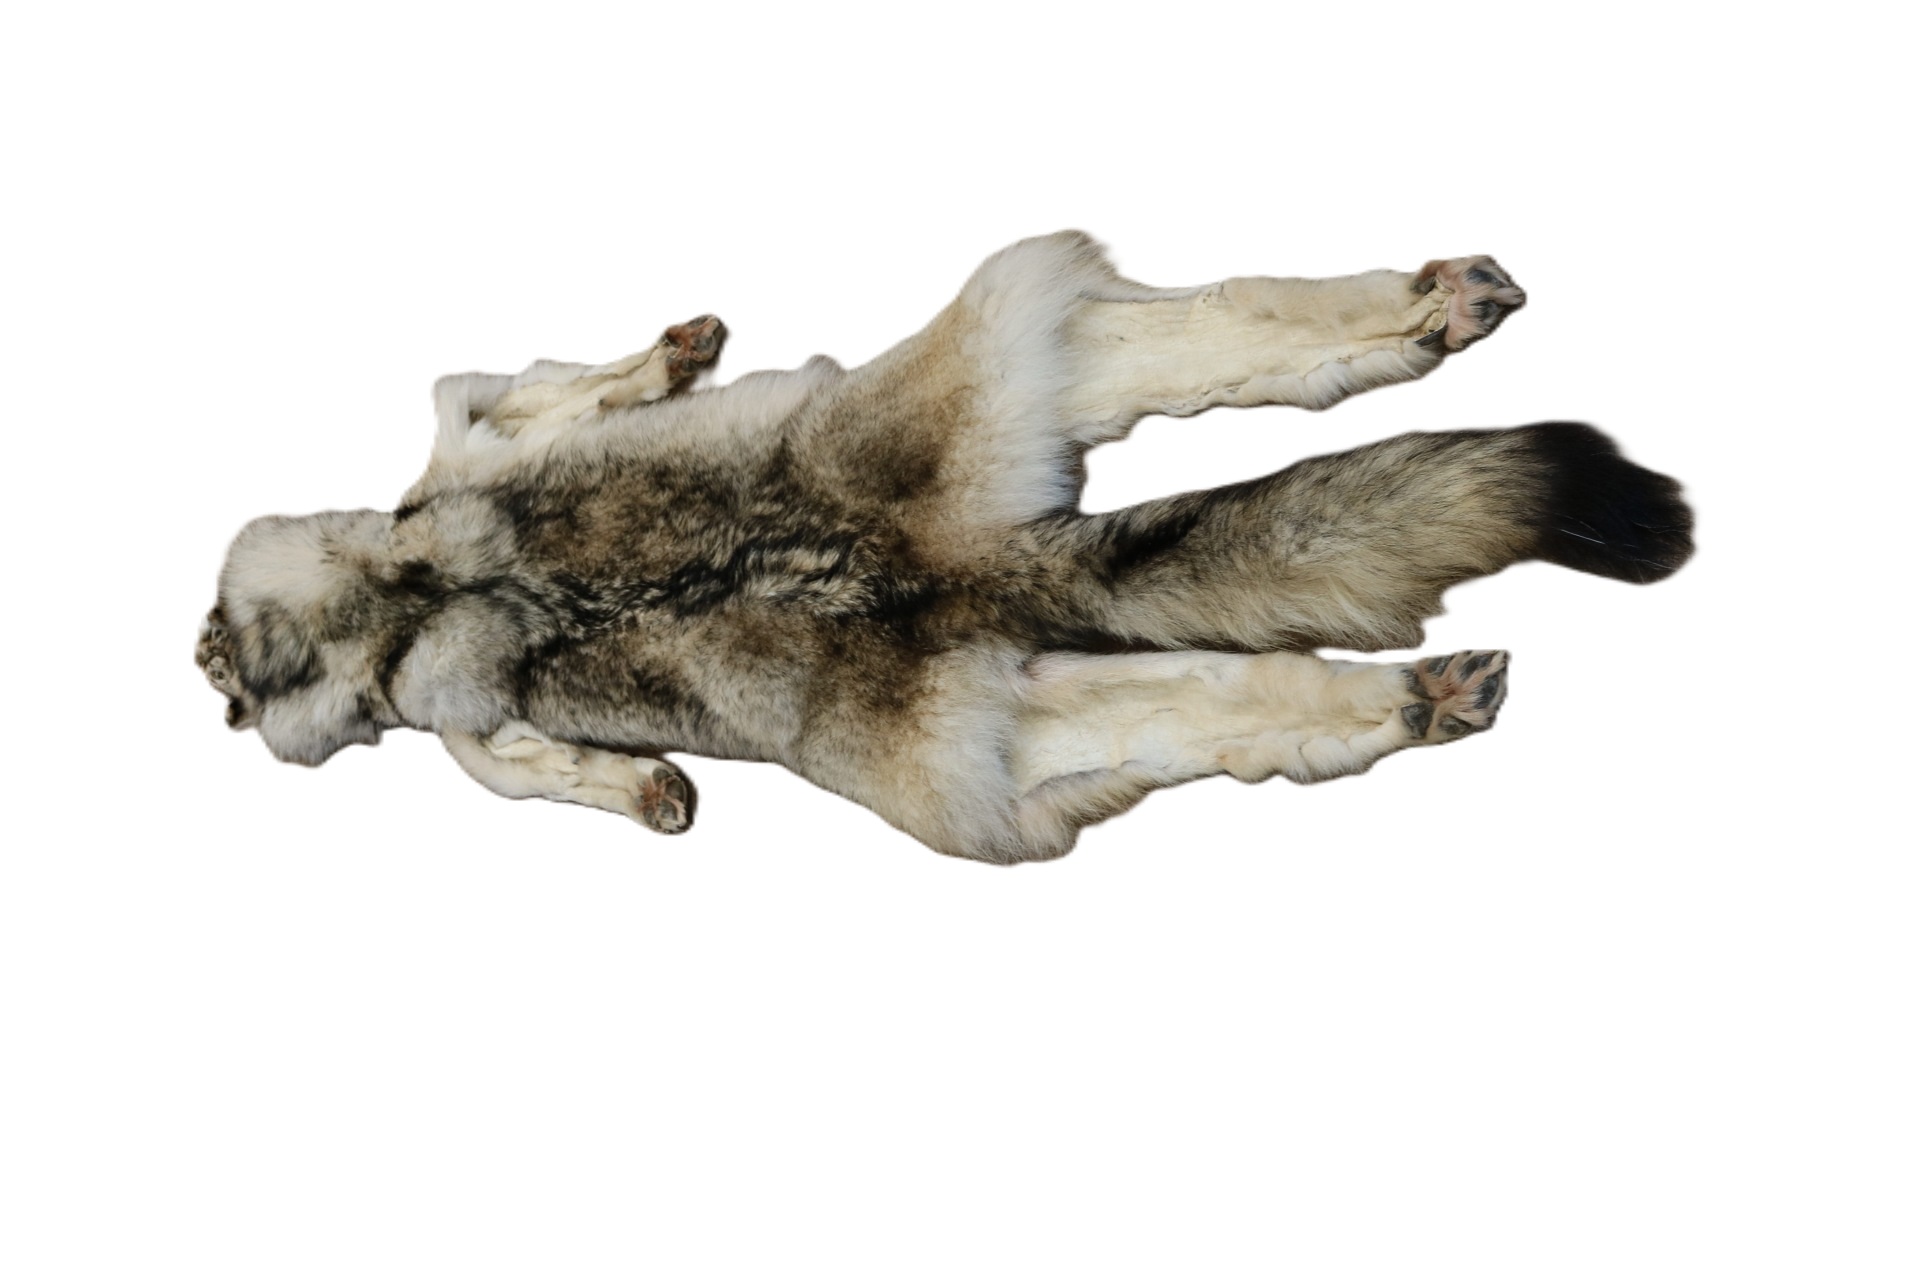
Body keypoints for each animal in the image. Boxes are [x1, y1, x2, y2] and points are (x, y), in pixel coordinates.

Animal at [196, 232, 1692, 862]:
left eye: (222, 674)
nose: (202, 666)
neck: (386, 599)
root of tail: (979, 568)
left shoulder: (457, 449)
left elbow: (528, 386)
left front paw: (682, 352)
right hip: (1013, 653)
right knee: (1234, 679)